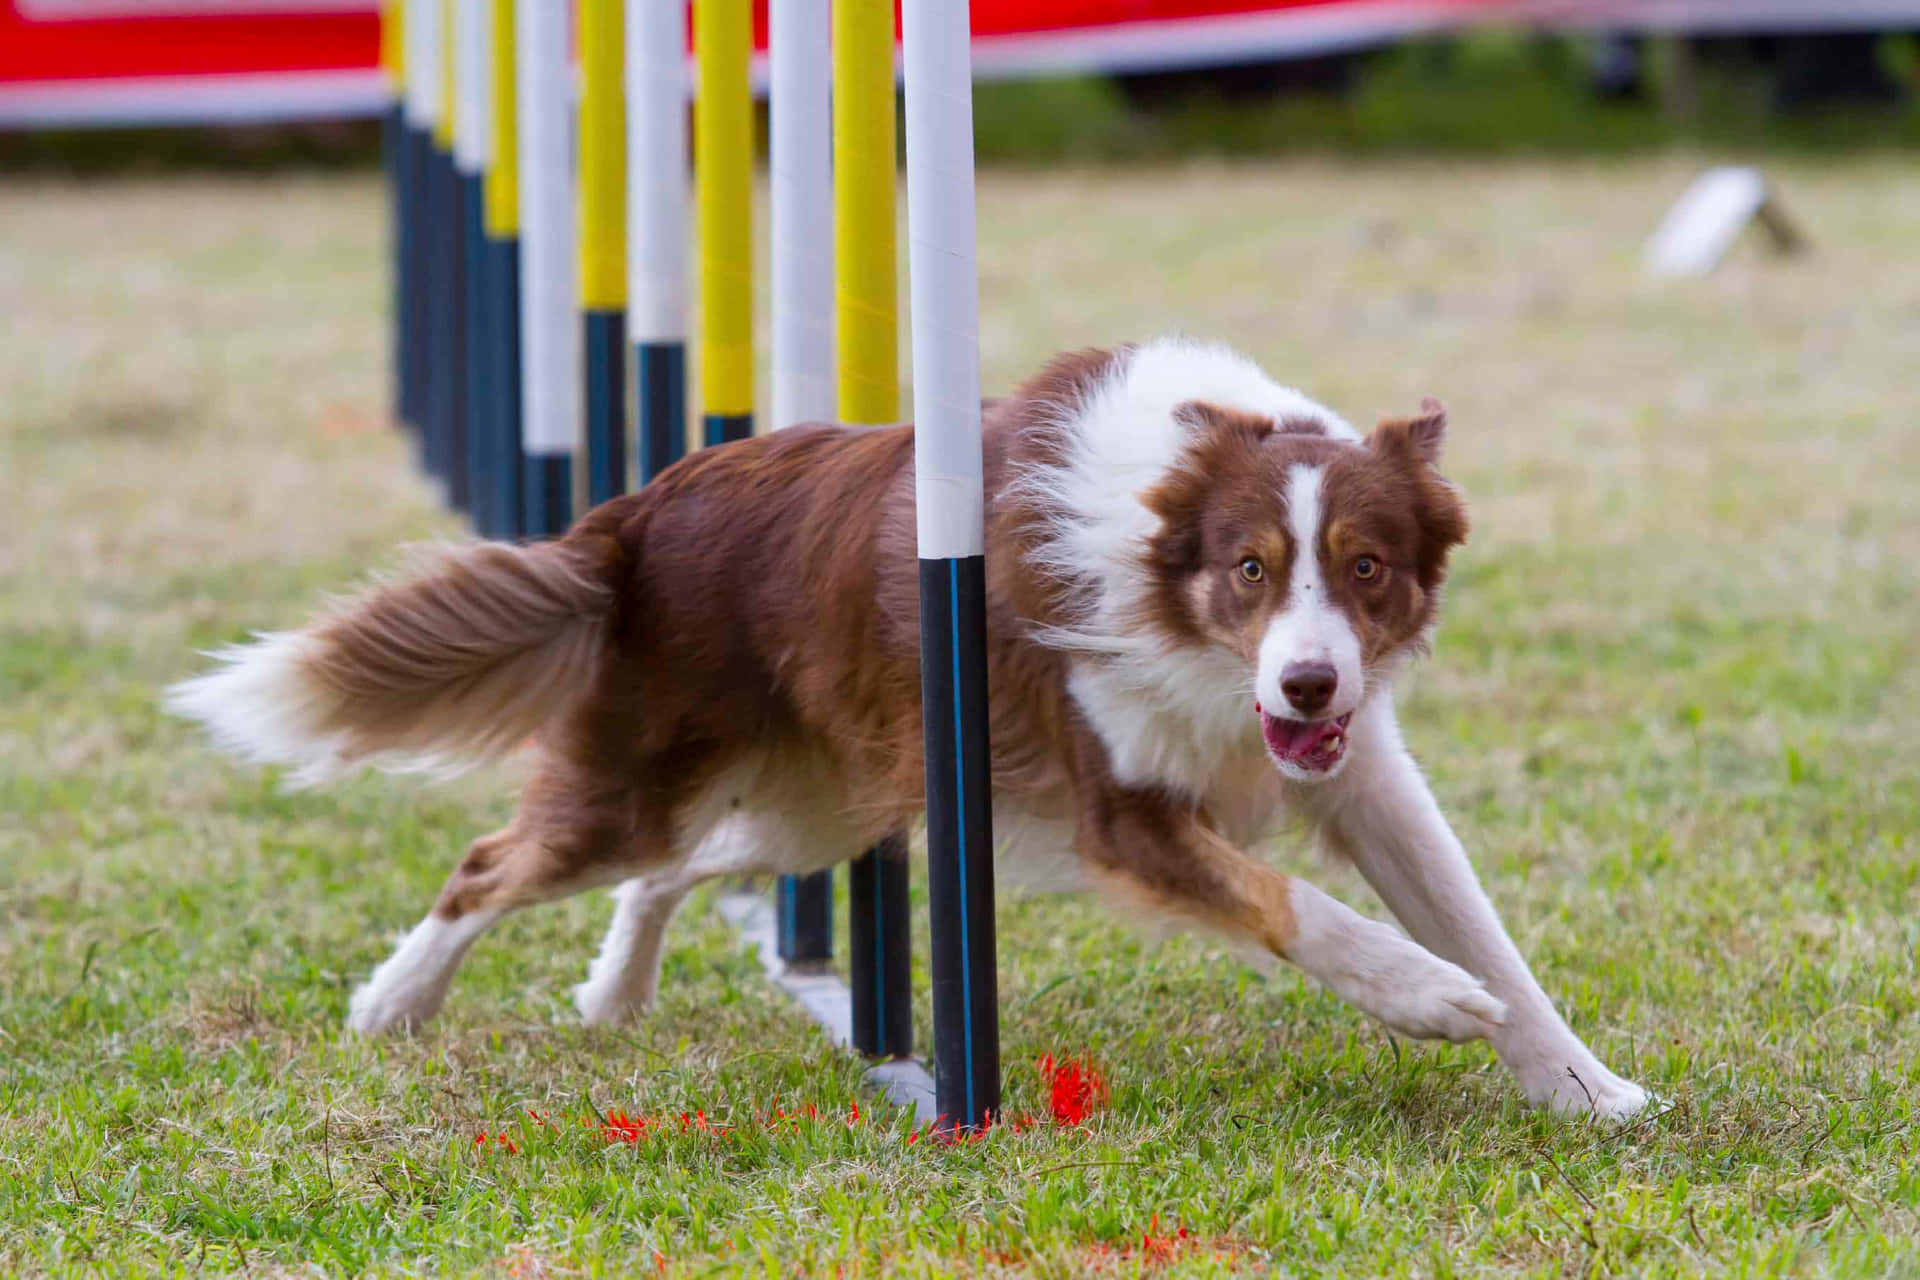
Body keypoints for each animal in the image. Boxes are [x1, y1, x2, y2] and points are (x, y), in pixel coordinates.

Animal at [172, 339, 1651, 1120]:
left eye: (1365, 568)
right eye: (1247, 569)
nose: (1304, 689)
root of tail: (634, 515)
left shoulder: (1366, 778)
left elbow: (1487, 933)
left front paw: (1589, 1088)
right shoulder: (1123, 813)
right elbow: (1305, 910)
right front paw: (1423, 998)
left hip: (834, 799)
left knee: (682, 869)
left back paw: (614, 992)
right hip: (647, 783)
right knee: (499, 862)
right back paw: (394, 1002)